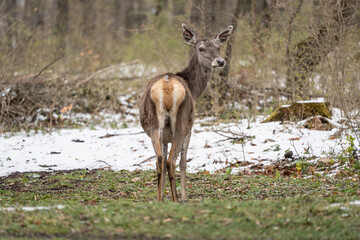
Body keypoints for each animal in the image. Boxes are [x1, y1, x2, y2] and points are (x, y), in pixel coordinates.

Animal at [138, 23, 233, 202]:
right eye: (201, 48)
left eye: (218, 47)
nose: (220, 61)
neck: (194, 90)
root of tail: (167, 87)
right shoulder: (190, 129)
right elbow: (184, 162)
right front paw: (184, 196)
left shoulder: (165, 137)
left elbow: (162, 160)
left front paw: (161, 196)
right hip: (182, 122)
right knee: (172, 161)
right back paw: (177, 199)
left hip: (155, 125)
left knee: (159, 160)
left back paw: (160, 199)